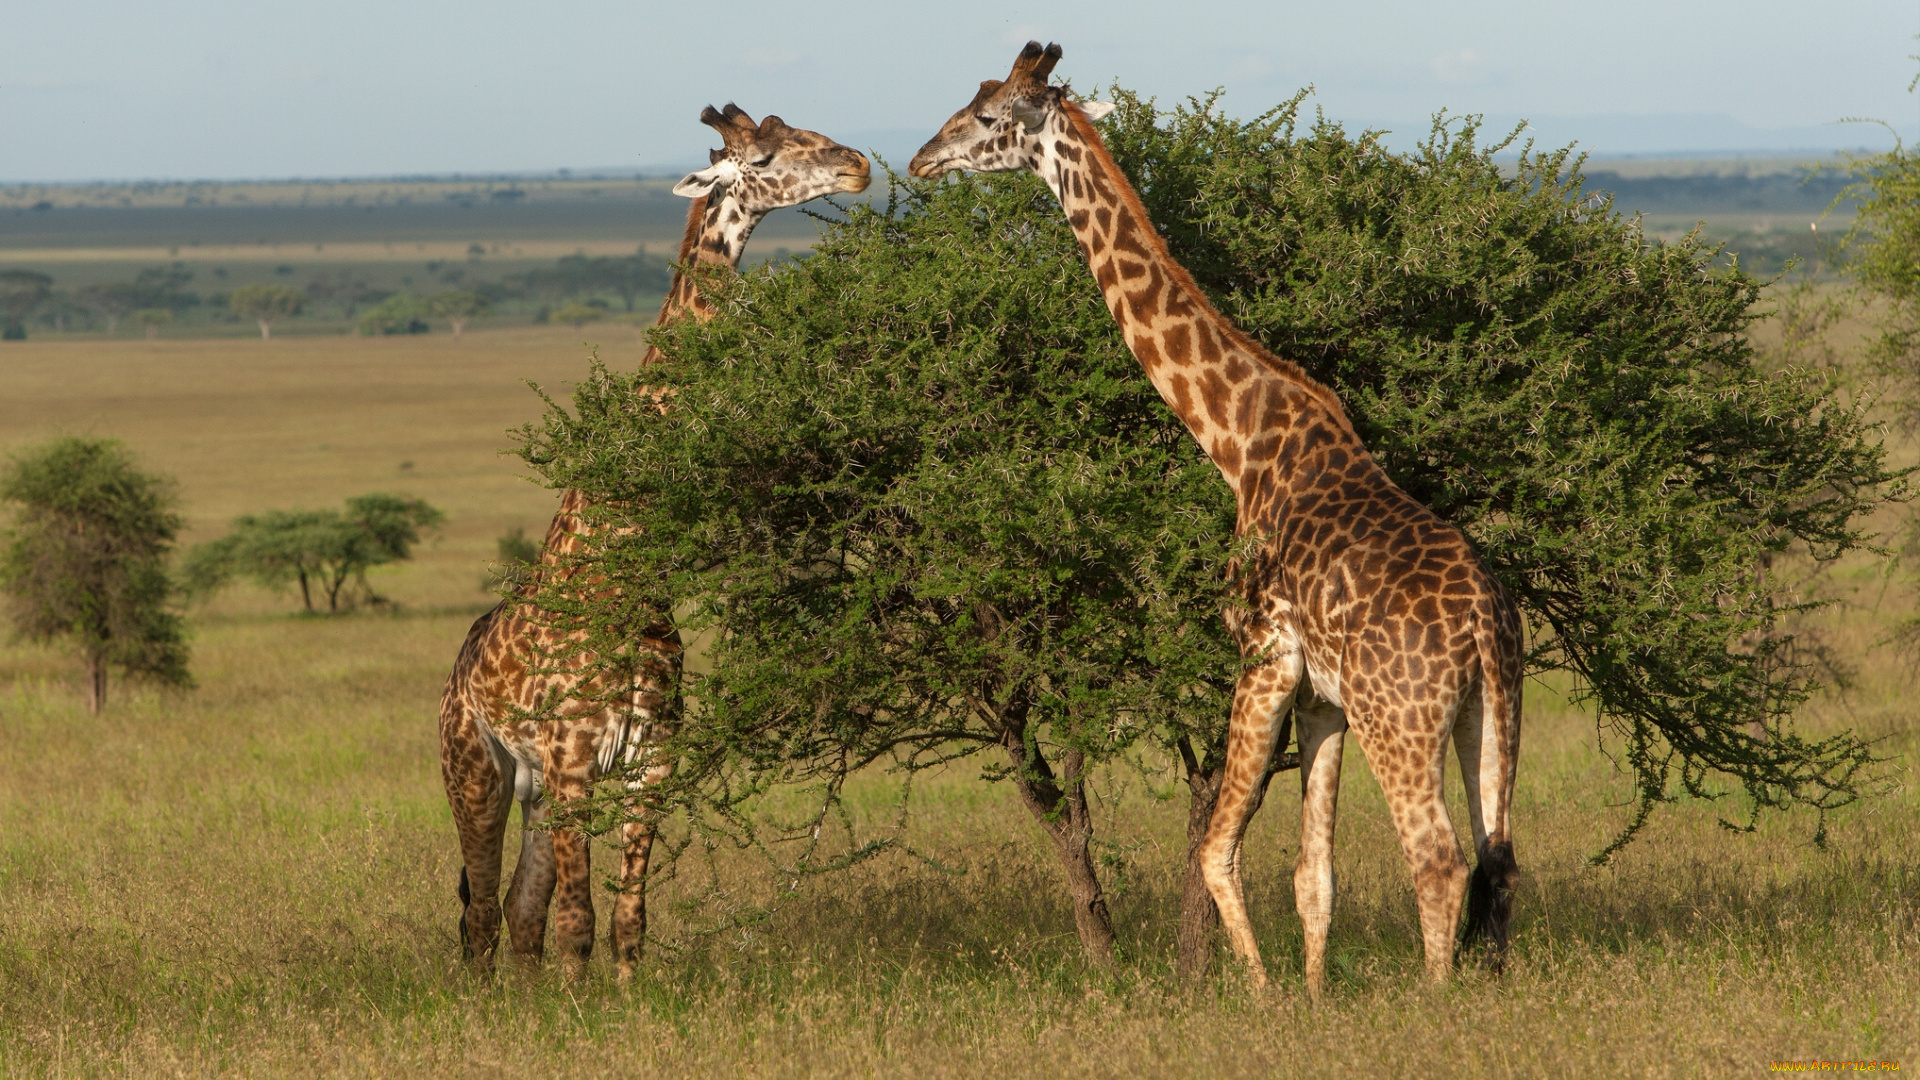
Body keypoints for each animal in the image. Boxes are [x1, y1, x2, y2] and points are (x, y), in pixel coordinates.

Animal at [439, 105, 867, 980]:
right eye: (764, 155)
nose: (858, 166)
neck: (627, 565)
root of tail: (454, 674)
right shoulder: (573, 762)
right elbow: (578, 920)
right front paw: (582, 1004)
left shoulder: (650, 761)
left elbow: (626, 919)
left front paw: (629, 999)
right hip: (474, 771)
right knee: (482, 919)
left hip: (533, 788)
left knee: (517, 916)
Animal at [906, 46, 1520, 999]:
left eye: (987, 117)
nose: (920, 160)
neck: (1237, 442)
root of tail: (1486, 622)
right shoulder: (1321, 696)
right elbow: (1313, 873)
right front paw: (1311, 998)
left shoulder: (1261, 657)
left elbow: (1215, 850)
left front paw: (1263, 994)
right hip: (1490, 712)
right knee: (1499, 858)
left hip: (1401, 718)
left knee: (1438, 858)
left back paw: (1435, 1002)